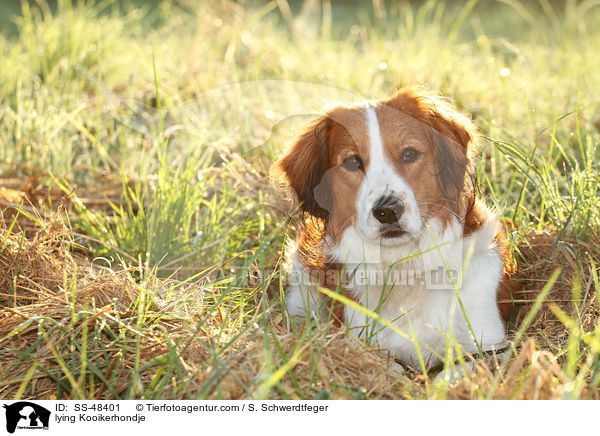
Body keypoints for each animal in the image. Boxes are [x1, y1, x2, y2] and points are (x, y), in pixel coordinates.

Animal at [274, 87, 512, 370]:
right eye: (353, 162)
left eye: (409, 154)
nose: (387, 210)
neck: (403, 264)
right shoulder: (364, 342)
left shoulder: (490, 345)